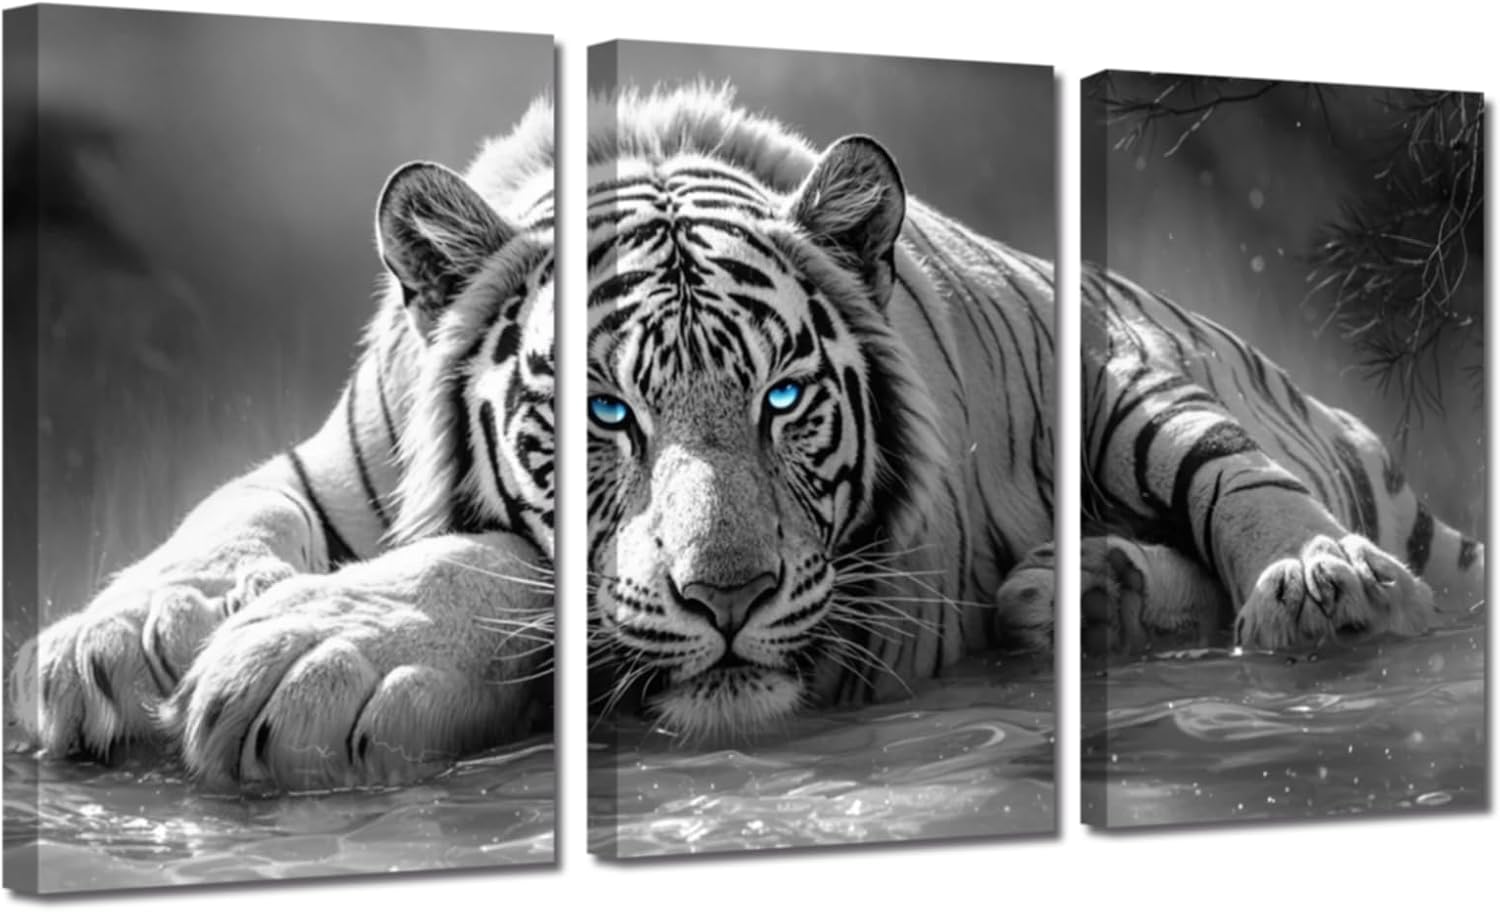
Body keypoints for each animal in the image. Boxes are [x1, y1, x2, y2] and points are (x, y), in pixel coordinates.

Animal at [585, 85, 1483, 742]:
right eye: (606, 412)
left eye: (781, 397)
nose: (729, 598)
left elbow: (1234, 476)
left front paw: (1315, 584)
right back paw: (1086, 592)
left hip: (1118, 373)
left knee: (1236, 472)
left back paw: (1314, 586)